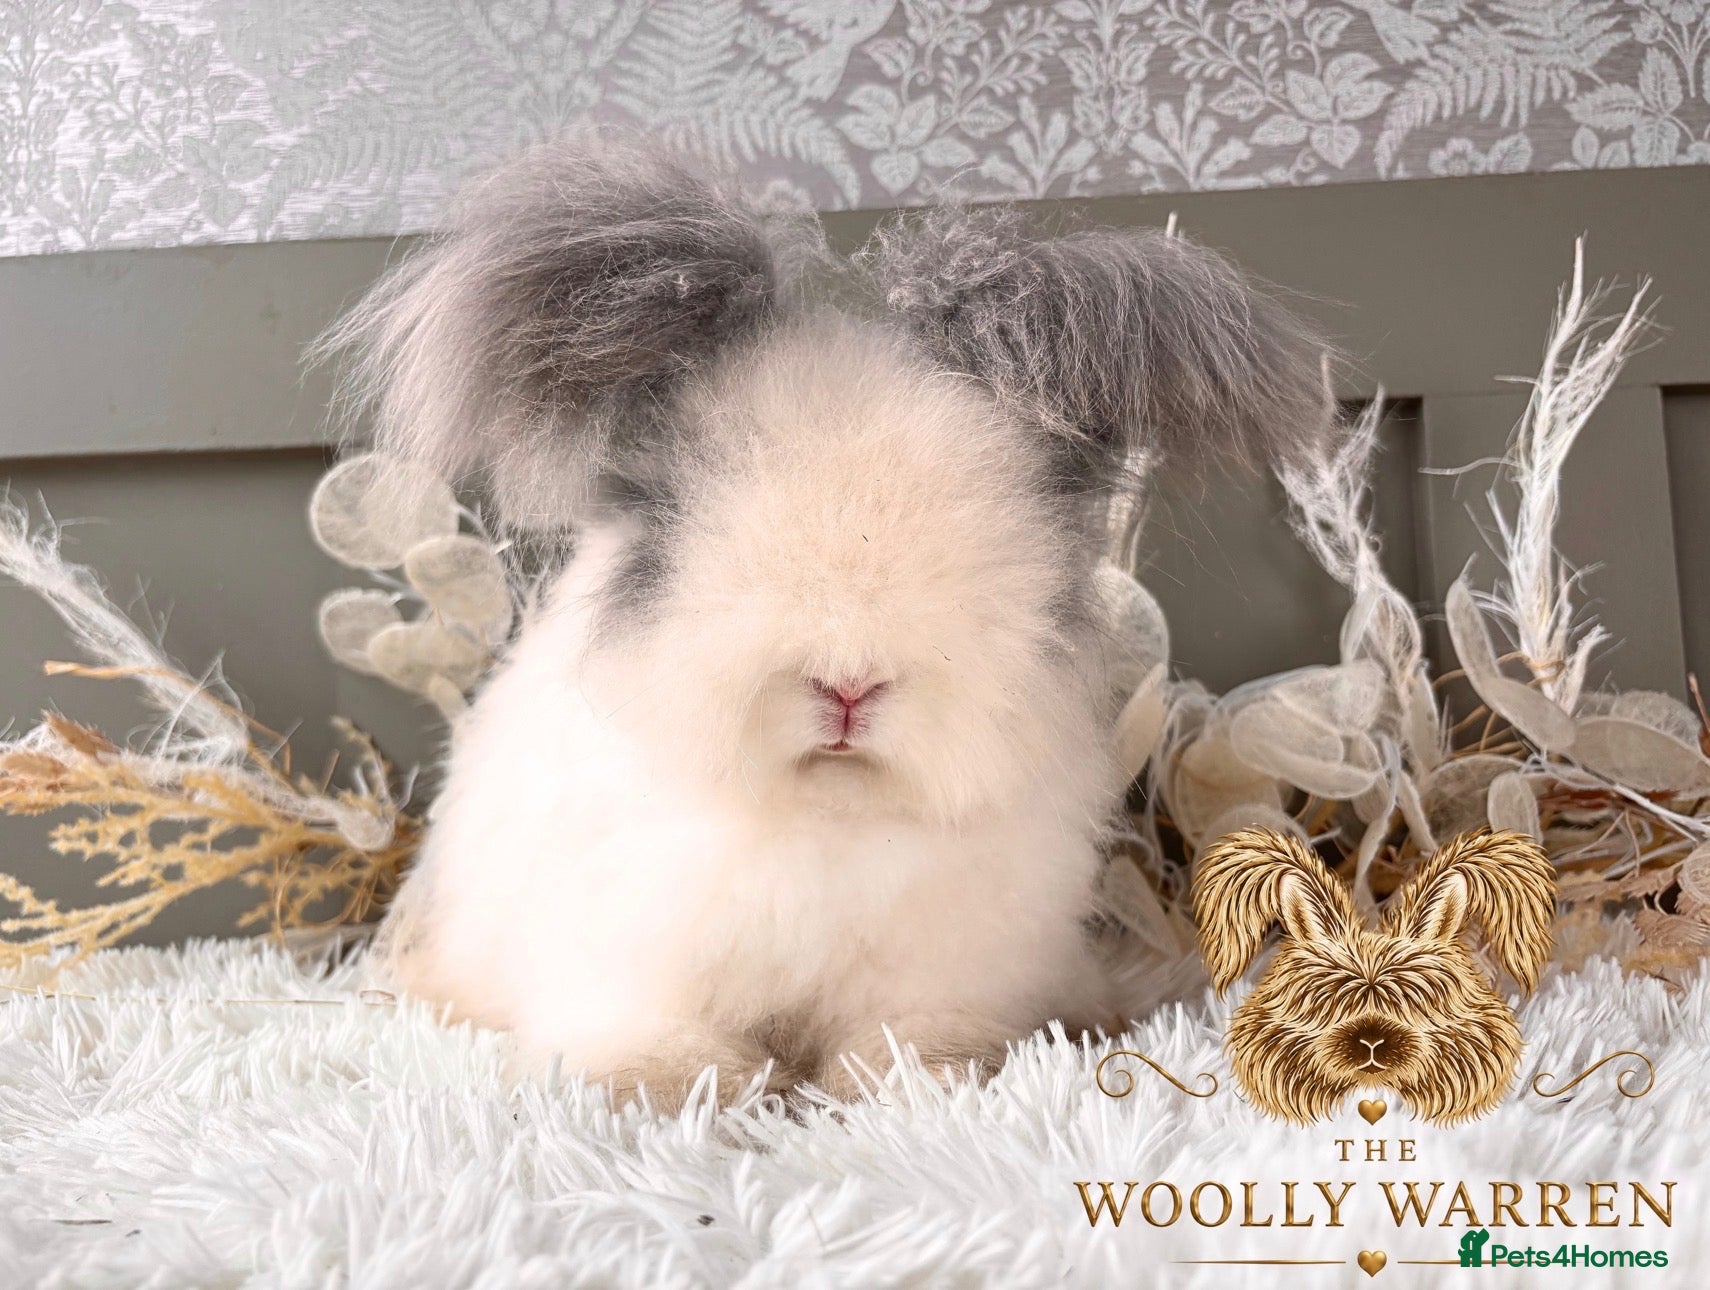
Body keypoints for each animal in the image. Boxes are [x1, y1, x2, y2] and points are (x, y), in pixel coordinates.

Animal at [328, 137, 1333, 1110]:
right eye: (669, 512)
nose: (848, 688)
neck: (826, 812)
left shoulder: (940, 962)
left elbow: (906, 1038)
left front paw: (923, 1084)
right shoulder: (632, 940)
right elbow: (651, 1025)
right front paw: (665, 1087)